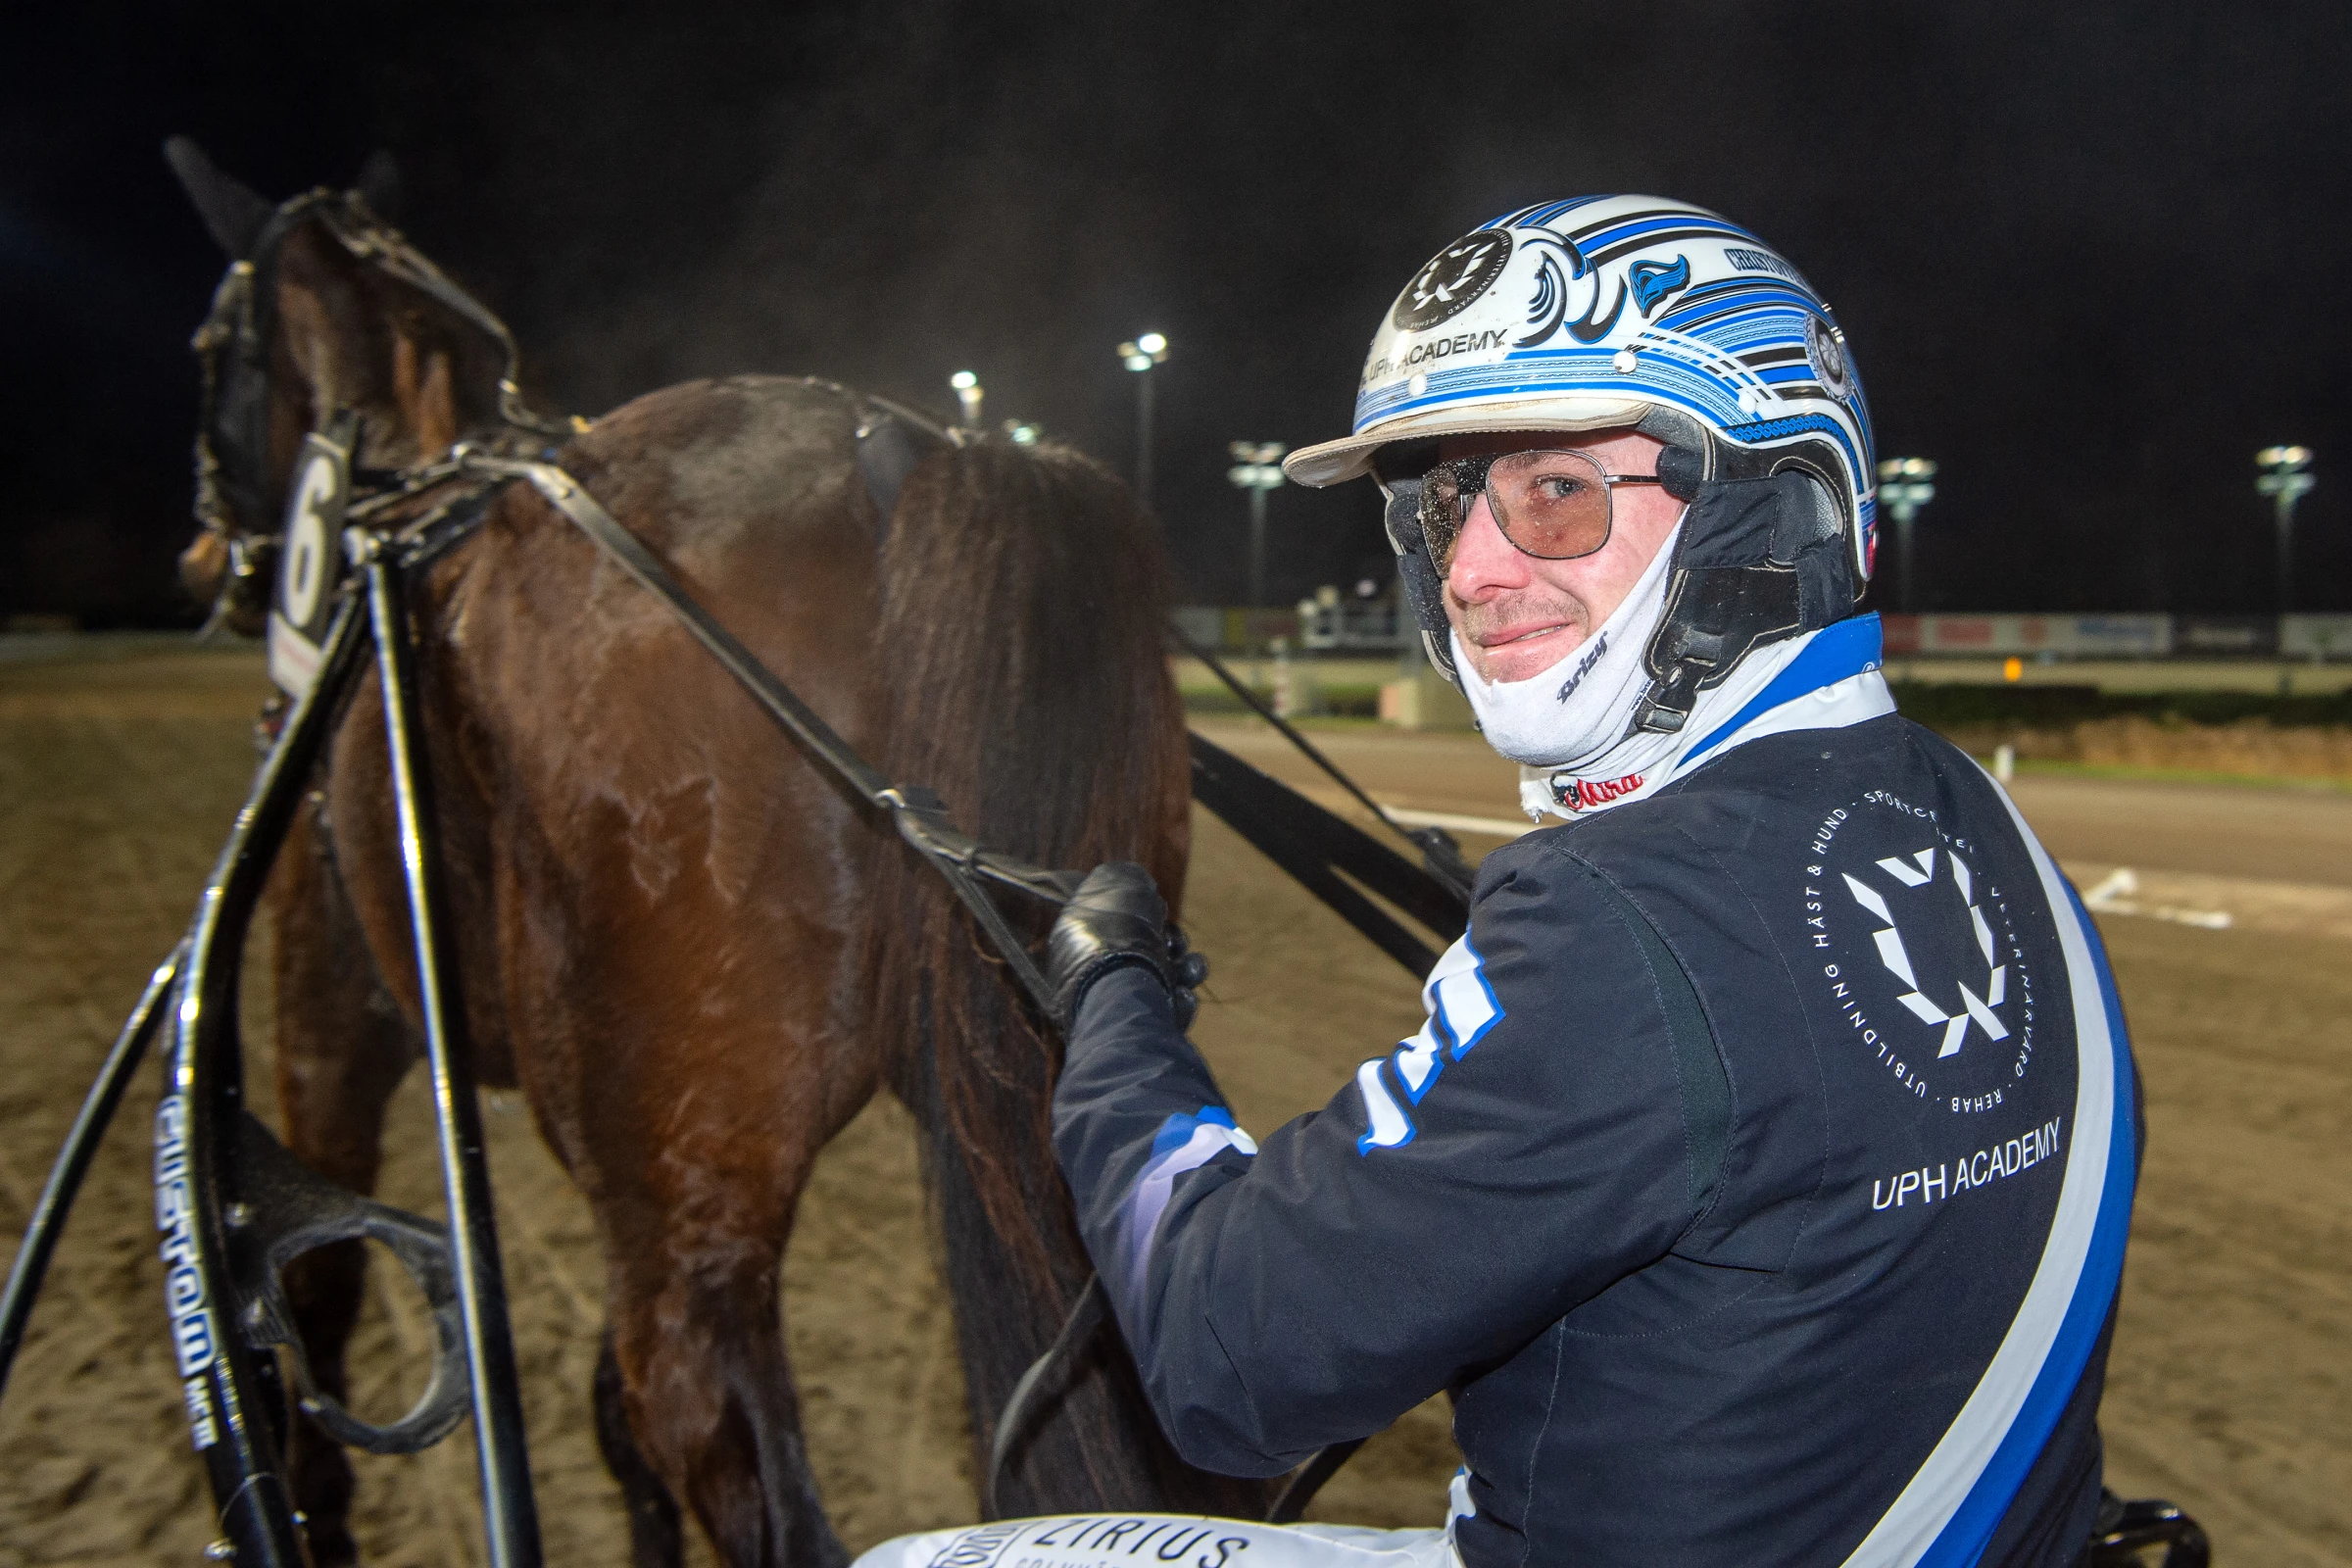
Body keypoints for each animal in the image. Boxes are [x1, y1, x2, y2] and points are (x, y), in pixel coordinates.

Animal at [161, 143, 1270, 1568]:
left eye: (207, 341)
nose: (206, 555)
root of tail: (913, 453)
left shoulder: (329, 998)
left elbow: (326, 1268)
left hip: (682, 1208)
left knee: (695, 1414)